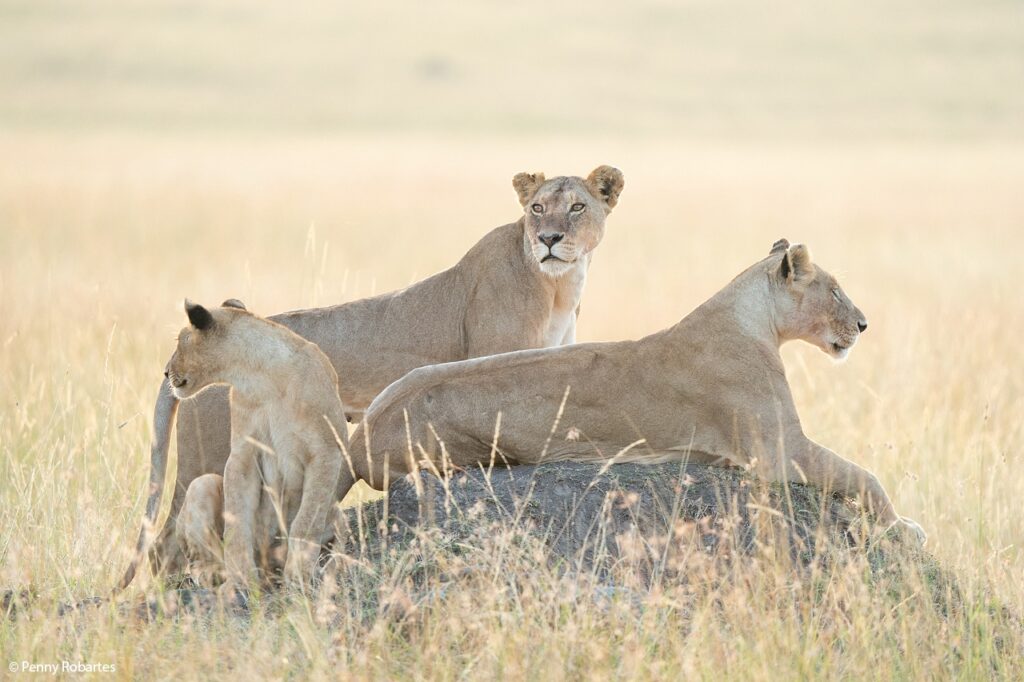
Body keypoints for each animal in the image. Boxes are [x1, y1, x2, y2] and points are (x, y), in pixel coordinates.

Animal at [167, 299, 344, 591]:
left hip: (339, 514)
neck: (262, 377)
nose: (166, 372)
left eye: (181, 340)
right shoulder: (243, 454)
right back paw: (212, 575)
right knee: (201, 558)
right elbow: (238, 520)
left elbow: (307, 520)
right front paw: (241, 577)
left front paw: (299, 573)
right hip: (201, 484)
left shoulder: (327, 451)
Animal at [337, 239, 926, 544]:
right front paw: (906, 528)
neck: (754, 320)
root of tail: (357, 438)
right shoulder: (780, 451)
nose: (865, 325)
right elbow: (866, 477)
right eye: (835, 290)